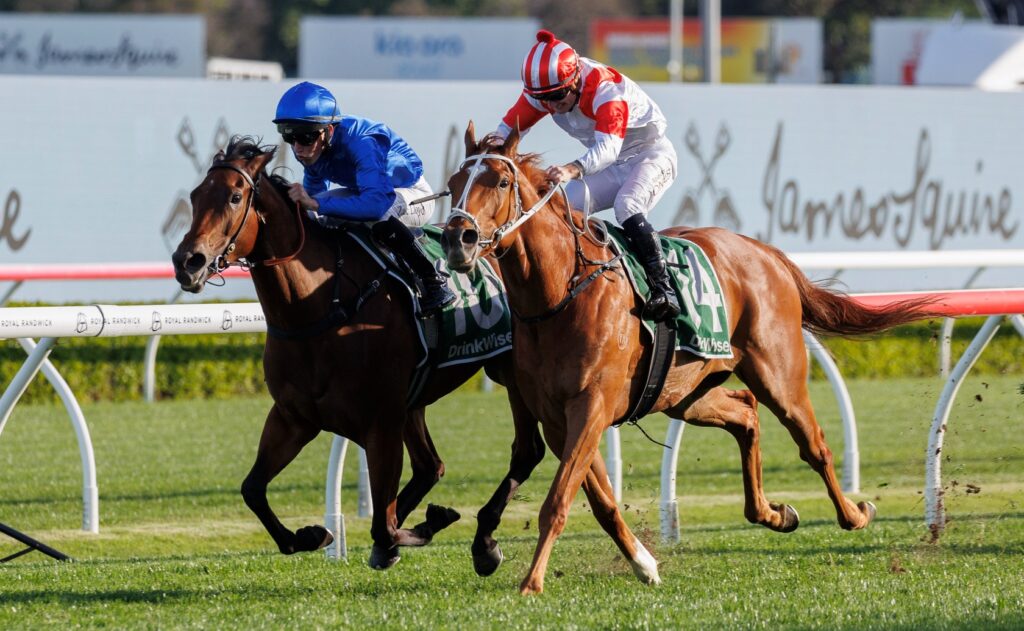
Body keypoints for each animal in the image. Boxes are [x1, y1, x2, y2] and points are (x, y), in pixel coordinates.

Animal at [171, 136, 545, 573]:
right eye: (195, 196)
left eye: (234, 196)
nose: (187, 262)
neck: (317, 309)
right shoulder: (294, 417)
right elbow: (253, 489)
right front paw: (312, 535)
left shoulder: (380, 422)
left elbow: (383, 525)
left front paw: (419, 528)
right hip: (413, 402)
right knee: (429, 467)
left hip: (509, 374)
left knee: (526, 451)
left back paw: (483, 543)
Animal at [441, 123, 941, 595]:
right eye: (453, 182)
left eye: (502, 181)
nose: (458, 240)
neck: (560, 293)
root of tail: (764, 251)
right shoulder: (557, 418)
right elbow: (599, 501)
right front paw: (644, 564)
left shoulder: (591, 405)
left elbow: (559, 500)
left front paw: (531, 582)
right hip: (683, 392)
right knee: (745, 413)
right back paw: (773, 513)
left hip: (777, 374)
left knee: (813, 444)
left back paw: (855, 513)